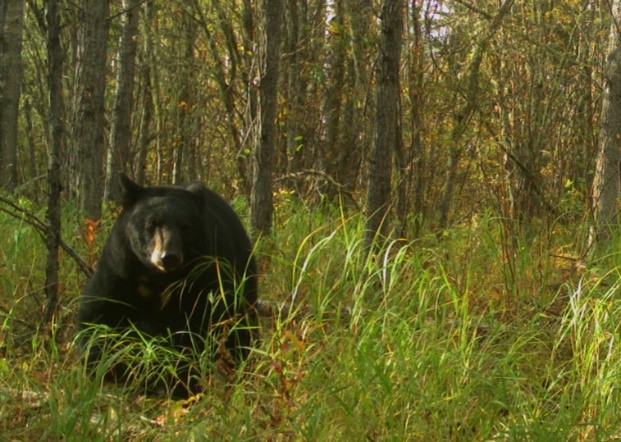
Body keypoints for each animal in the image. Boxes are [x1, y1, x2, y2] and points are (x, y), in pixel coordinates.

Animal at [77, 174, 256, 398]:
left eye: (185, 226)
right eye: (152, 223)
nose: (168, 256)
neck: (158, 279)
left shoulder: (201, 280)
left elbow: (192, 330)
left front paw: (176, 380)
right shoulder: (119, 270)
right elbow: (97, 316)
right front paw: (108, 367)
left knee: (240, 334)